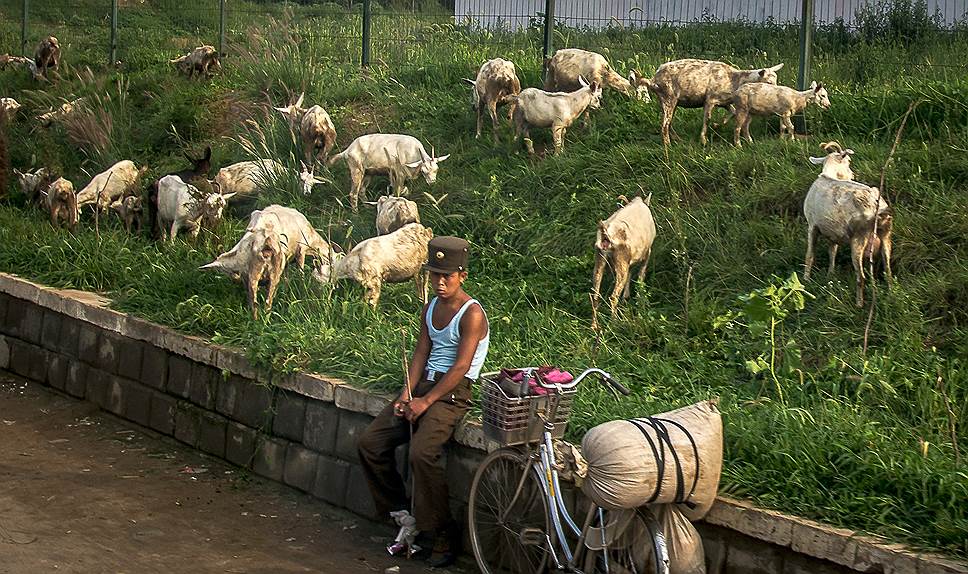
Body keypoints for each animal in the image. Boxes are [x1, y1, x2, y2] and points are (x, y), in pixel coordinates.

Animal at [202, 206, 342, 322]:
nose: (333, 288)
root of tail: (261, 242)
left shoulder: (286, 262)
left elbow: (286, 280)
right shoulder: (300, 250)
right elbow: (301, 273)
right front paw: (301, 289)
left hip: (252, 273)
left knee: (253, 301)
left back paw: (256, 321)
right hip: (272, 271)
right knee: (267, 300)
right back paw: (266, 321)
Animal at [588, 196, 656, 330]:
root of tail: (605, 235)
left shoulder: (629, 261)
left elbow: (630, 274)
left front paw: (626, 297)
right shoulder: (646, 253)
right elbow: (641, 274)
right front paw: (639, 297)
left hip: (600, 259)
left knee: (595, 295)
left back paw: (594, 326)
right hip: (620, 261)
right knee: (613, 296)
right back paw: (614, 323)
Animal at [644, 58, 788, 146]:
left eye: (776, 80)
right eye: (768, 82)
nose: (777, 93)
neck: (735, 80)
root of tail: (654, 79)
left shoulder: (725, 101)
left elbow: (733, 112)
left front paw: (717, 125)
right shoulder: (710, 99)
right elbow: (707, 119)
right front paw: (703, 140)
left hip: (668, 101)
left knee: (669, 122)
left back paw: (677, 139)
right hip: (668, 97)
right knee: (664, 124)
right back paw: (667, 144)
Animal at [800, 143, 892, 306]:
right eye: (848, 161)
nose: (852, 175)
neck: (828, 175)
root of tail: (876, 205)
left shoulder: (812, 226)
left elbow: (810, 254)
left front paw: (805, 280)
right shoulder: (832, 233)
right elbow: (832, 252)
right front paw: (830, 275)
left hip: (859, 238)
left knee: (861, 276)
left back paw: (859, 304)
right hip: (886, 234)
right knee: (888, 269)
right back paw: (892, 293)